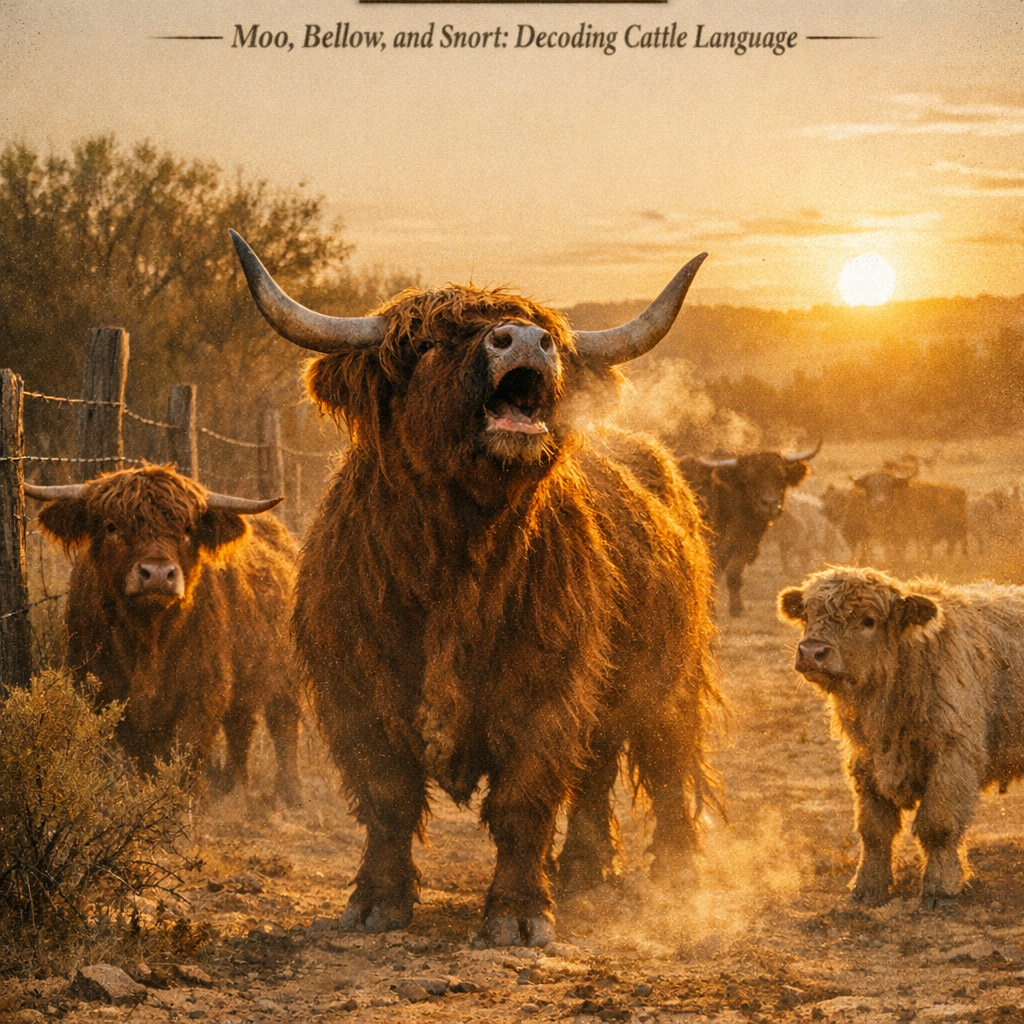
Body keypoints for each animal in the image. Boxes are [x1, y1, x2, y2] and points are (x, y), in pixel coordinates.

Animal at [25, 465, 304, 805]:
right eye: (111, 526)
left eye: (187, 529)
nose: (157, 574)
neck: (148, 642)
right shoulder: (110, 695)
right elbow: (147, 757)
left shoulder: (204, 690)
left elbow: (188, 752)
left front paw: (191, 803)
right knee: (241, 725)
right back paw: (234, 783)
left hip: (286, 674)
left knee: (284, 726)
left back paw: (289, 794)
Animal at [230, 229, 721, 946]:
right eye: (428, 343)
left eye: (546, 335)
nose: (524, 342)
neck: (456, 561)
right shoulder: (355, 693)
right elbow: (387, 797)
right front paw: (376, 903)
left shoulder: (546, 689)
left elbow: (524, 798)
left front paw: (517, 915)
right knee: (597, 771)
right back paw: (584, 871)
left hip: (669, 677)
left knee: (665, 763)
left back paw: (679, 878)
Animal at [678, 443, 820, 617]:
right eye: (748, 478)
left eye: (781, 476)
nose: (770, 503)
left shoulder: (741, 546)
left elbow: (734, 575)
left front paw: (737, 609)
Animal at [779, 566, 1024, 908]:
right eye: (808, 614)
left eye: (868, 621)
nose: (812, 652)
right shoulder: (866, 759)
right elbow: (874, 830)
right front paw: (868, 886)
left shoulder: (953, 755)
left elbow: (938, 824)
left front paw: (941, 887)